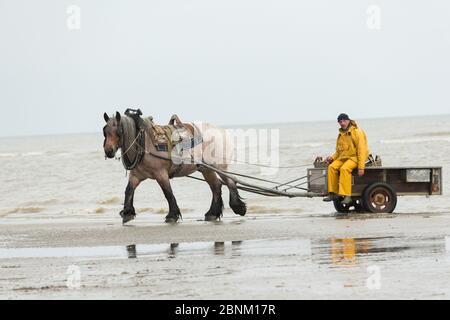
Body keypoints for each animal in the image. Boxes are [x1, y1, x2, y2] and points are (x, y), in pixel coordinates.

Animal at [103, 111, 246, 224]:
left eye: (119, 131)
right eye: (105, 131)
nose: (108, 151)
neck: (145, 143)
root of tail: (221, 131)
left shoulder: (161, 174)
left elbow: (168, 193)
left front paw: (172, 215)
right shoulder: (136, 175)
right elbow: (128, 190)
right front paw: (127, 212)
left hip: (218, 166)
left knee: (230, 181)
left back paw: (238, 207)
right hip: (206, 169)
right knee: (216, 186)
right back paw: (212, 213)